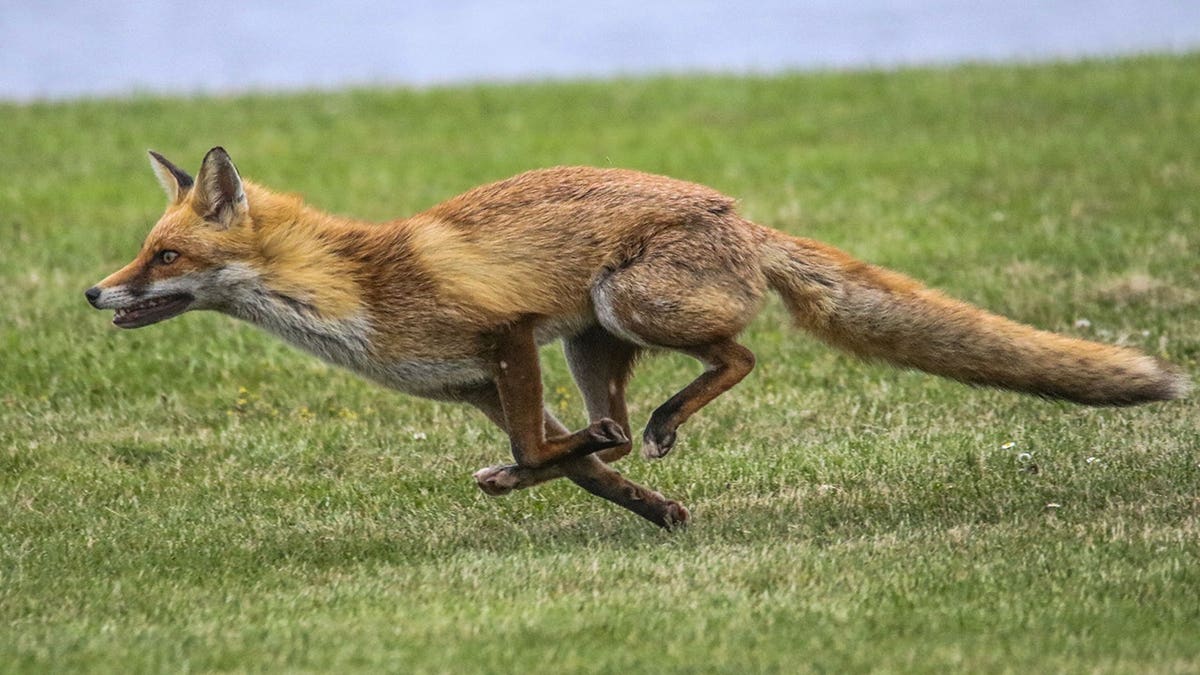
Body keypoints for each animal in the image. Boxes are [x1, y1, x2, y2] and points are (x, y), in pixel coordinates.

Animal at [86, 147, 1189, 528]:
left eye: (165, 256)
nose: (95, 293)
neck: (355, 291)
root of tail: (741, 215)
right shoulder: (482, 384)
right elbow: (570, 461)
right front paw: (654, 512)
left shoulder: (508, 339)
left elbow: (546, 450)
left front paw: (554, 476)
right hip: (592, 345)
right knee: (623, 414)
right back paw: (645, 442)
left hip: (624, 306)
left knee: (738, 356)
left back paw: (666, 420)